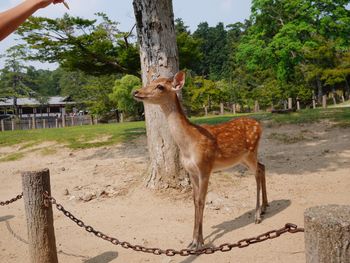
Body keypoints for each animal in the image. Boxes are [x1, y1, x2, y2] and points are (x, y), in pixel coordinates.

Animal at [134, 71, 268, 251]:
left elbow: (201, 200)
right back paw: (265, 207)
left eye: (160, 86)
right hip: (242, 158)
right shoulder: (191, 171)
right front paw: (194, 240)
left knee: (257, 172)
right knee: (262, 166)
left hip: (251, 151)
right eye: (151, 82)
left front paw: (198, 242)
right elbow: (194, 201)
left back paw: (257, 215)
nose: (136, 92)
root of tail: (259, 125)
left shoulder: (205, 167)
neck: (188, 146)